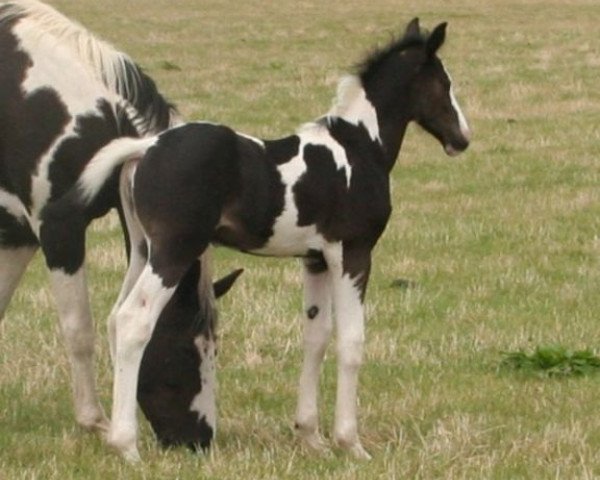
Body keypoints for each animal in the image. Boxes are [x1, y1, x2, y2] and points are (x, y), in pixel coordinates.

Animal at [0, 0, 229, 450]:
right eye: (186, 350)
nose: (199, 438)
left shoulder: (17, 236)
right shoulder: (59, 232)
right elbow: (79, 331)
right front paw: (95, 421)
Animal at [79, 17, 472, 462]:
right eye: (443, 83)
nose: (462, 138)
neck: (358, 147)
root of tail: (146, 147)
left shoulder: (316, 259)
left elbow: (316, 337)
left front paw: (311, 437)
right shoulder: (352, 253)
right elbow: (351, 342)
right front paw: (350, 443)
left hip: (143, 252)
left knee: (115, 318)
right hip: (173, 252)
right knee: (134, 321)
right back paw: (126, 446)